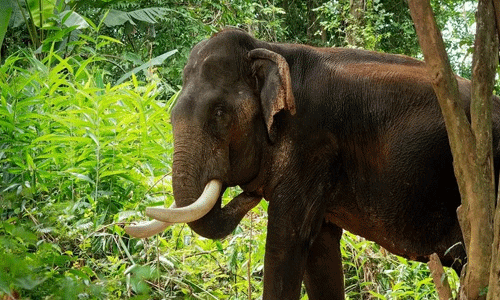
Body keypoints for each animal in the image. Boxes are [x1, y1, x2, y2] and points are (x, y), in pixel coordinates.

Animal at [124, 28, 500, 300]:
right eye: (172, 114)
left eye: (219, 114)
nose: (248, 193)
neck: (270, 48)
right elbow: (319, 247)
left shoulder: (312, 146)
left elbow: (287, 239)